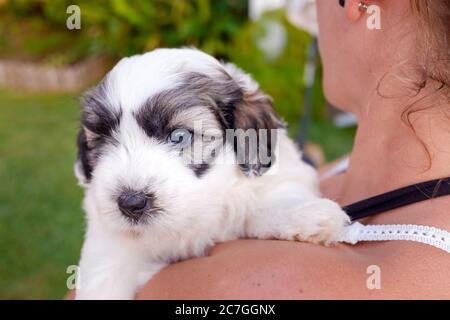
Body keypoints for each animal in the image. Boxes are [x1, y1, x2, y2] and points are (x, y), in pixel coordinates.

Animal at [74, 48, 350, 300]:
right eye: (101, 140)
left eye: (179, 136)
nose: (131, 202)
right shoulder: (110, 240)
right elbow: (105, 273)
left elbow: (269, 199)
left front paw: (308, 214)